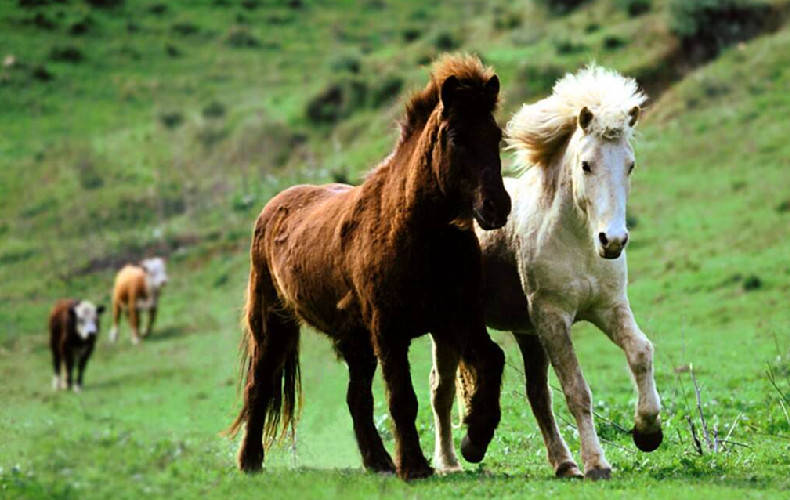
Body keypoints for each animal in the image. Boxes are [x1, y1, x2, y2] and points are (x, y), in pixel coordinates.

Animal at [227, 52, 512, 478]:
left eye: (495, 135)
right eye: (456, 137)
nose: (497, 207)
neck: (416, 231)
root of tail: (274, 206)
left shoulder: (458, 317)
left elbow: (492, 361)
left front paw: (474, 441)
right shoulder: (389, 330)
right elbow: (402, 398)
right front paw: (415, 467)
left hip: (355, 341)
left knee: (356, 398)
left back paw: (378, 461)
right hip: (273, 326)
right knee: (258, 387)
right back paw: (250, 461)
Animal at [430, 64, 664, 478]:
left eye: (630, 165)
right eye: (586, 164)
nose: (613, 240)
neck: (578, 242)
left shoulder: (608, 308)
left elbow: (641, 352)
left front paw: (647, 432)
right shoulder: (554, 318)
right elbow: (576, 390)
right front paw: (597, 464)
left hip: (527, 334)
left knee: (536, 395)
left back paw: (563, 463)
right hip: (450, 329)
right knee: (441, 390)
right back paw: (450, 462)